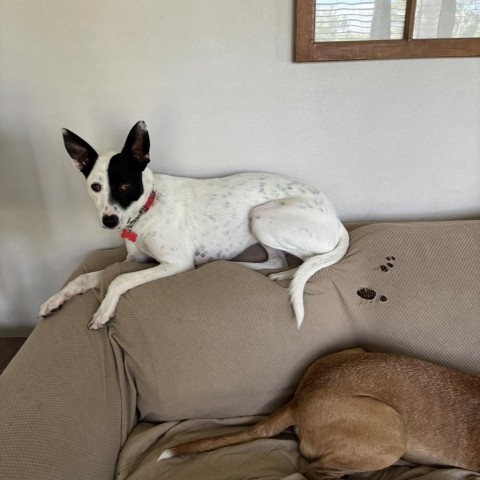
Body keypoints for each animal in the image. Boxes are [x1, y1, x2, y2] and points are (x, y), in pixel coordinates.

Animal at [39, 122, 346, 330]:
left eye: (125, 185)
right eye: (96, 186)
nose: (109, 221)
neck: (147, 207)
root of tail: (335, 217)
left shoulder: (177, 263)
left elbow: (119, 279)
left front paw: (103, 311)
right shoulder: (135, 260)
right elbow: (89, 276)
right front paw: (56, 299)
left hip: (261, 217)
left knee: (310, 261)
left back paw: (287, 275)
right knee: (275, 260)